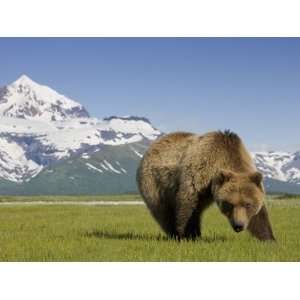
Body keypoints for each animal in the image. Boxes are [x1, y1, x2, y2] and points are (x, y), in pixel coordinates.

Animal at [137, 131, 276, 241]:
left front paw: (269, 238)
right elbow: (188, 204)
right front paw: (185, 235)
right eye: (229, 204)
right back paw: (176, 234)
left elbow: (260, 216)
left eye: (248, 204)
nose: (238, 225)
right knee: (162, 211)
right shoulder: (199, 173)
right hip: (154, 182)